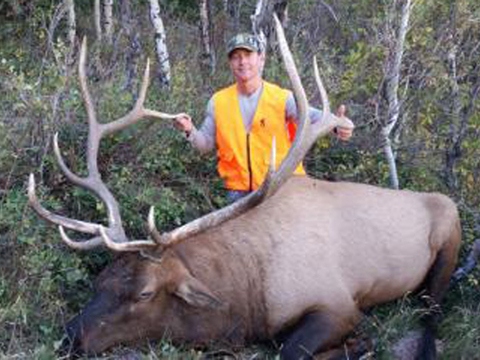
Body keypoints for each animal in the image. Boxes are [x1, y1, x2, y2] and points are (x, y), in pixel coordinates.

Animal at [28, 16, 460, 360]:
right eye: (100, 281)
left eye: (144, 294)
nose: (69, 338)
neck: (247, 301)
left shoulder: (339, 303)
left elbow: (291, 350)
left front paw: (360, 343)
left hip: (448, 242)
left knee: (432, 311)